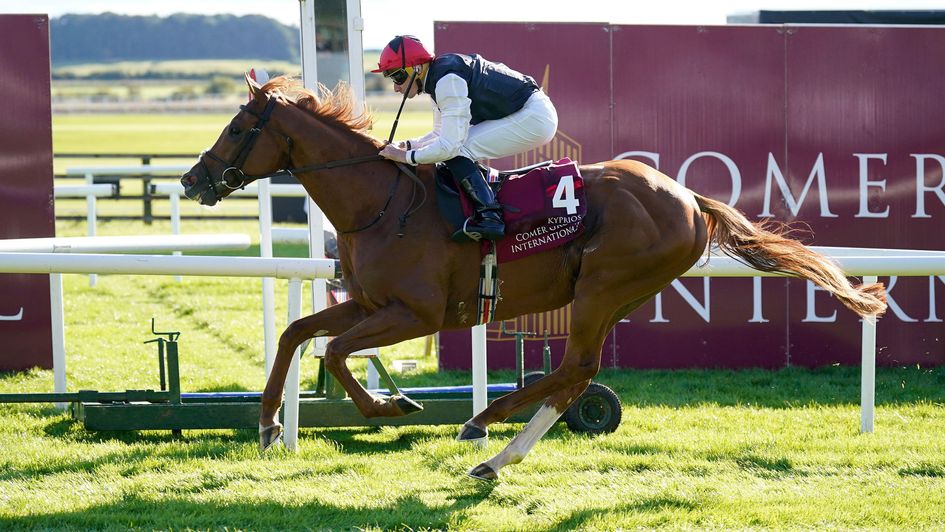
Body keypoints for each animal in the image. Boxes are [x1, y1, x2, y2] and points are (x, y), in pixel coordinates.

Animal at [179, 77, 884, 480]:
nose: (191, 179)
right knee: (573, 374)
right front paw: (269, 425)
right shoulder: (367, 302)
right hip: (614, 293)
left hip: (603, 287)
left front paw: (389, 405)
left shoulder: (415, 313)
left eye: (238, 127)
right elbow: (297, 333)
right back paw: (495, 449)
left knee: (576, 370)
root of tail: (687, 198)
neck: (379, 203)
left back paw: (486, 430)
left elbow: (334, 351)